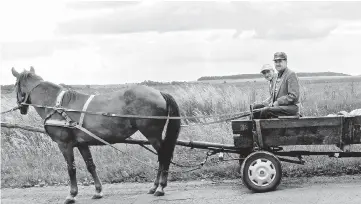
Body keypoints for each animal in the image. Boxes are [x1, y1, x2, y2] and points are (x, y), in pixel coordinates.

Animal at [10, 66, 180, 202]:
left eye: (15, 85)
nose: (21, 108)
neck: (56, 106)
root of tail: (159, 92)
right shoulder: (82, 144)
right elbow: (90, 166)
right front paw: (98, 191)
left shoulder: (64, 144)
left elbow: (71, 168)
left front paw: (72, 194)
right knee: (161, 158)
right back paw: (154, 187)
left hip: (152, 134)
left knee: (163, 156)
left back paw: (160, 188)